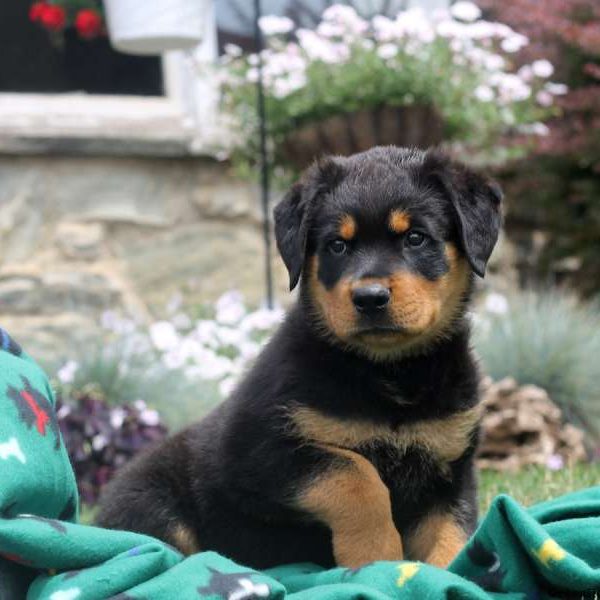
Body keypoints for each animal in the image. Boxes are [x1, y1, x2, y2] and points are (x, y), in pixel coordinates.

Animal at [97, 148, 502, 568]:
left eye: (416, 238)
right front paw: (376, 557)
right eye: (337, 245)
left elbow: (453, 536)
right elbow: (356, 475)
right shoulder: (256, 450)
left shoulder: (451, 469)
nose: (370, 298)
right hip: (153, 501)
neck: (390, 374)